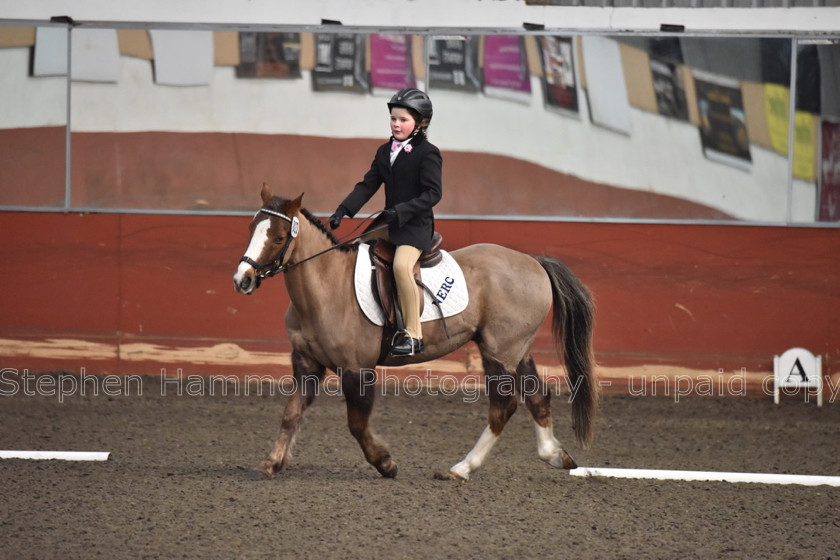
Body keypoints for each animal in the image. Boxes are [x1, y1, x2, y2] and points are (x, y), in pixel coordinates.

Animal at [231, 185, 596, 482]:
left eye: (279, 237)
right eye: (251, 228)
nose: (242, 279)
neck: (325, 288)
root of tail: (534, 261)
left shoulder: (357, 369)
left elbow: (356, 424)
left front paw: (385, 463)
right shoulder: (307, 363)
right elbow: (290, 414)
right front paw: (271, 463)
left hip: (499, 352)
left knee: (503, 406)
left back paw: (461, 468)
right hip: (516, 350)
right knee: (537, 396)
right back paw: (554, 455)